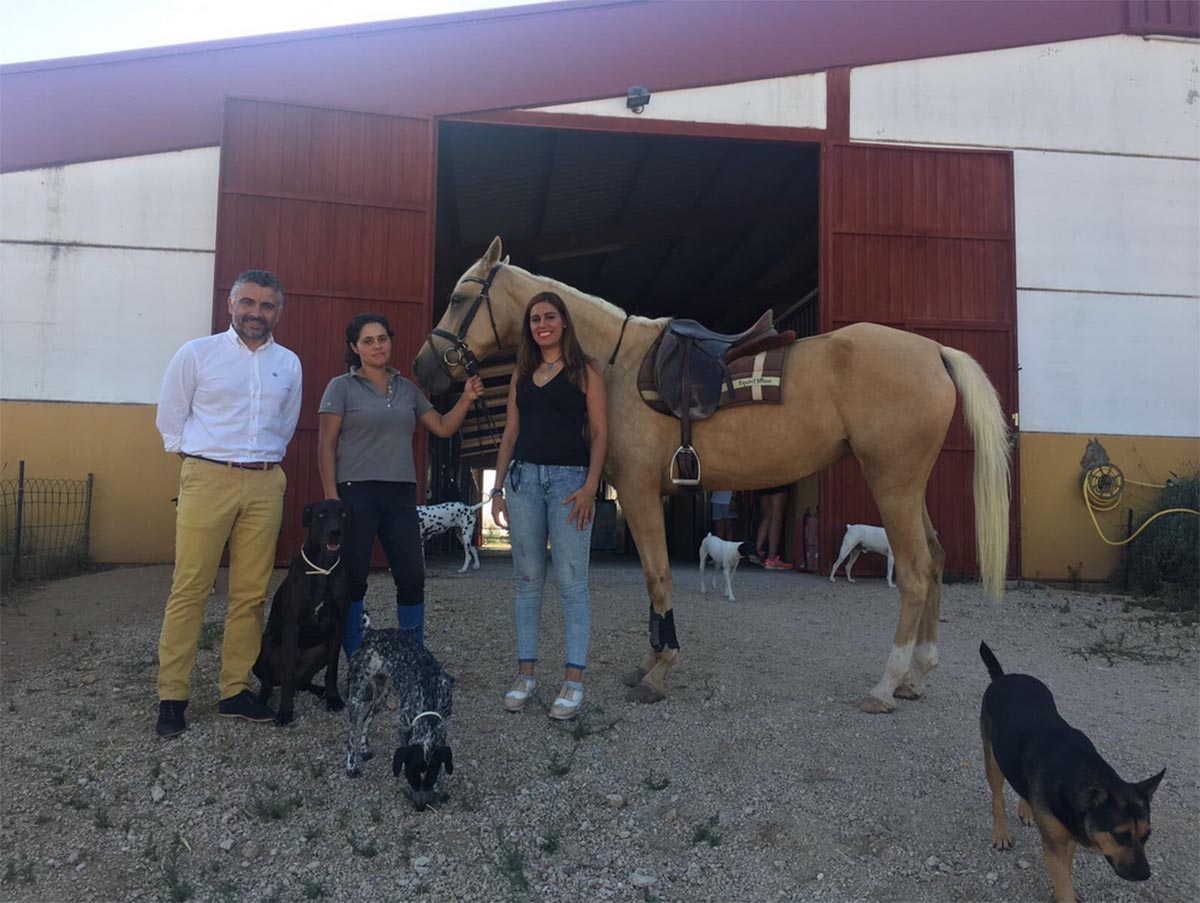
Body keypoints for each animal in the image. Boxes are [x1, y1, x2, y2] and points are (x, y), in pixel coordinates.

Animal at [250, 501, 348, 725]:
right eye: (321, 515)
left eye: (343, 514)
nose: (335, 532)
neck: (322, 567)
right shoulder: (292, 626)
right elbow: (288, 677)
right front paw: (285, 711)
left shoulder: (338, 625)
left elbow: (332, 670)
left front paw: (333, 698)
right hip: (264, 644)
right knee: (271, 683)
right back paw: (262, 699)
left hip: (323, 648)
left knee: (302, 682)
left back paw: (319, 690)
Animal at [350, 629, 456, 811]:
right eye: (411, 778)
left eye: (429, 780)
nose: (420, 808)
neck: (430, 695)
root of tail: (372, 632)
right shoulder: (403, 725)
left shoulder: (444, 724)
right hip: (356, 696)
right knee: (350, 734)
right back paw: (351, 765)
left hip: (381, 696)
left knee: (366, 719)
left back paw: (364, 749)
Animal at [417, 237, 1008, 710]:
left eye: (459, 299)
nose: (425, 367)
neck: (616, 364)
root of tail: (933, 350)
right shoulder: (648, 495)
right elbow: (651, 581)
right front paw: (650, 659)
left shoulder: (638, 491)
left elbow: (658, 576)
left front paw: (659, 672)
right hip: (909, 485)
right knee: (935, 559)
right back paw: (917, 675)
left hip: (893, 483)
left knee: (915, 572)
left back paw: (887, 684)